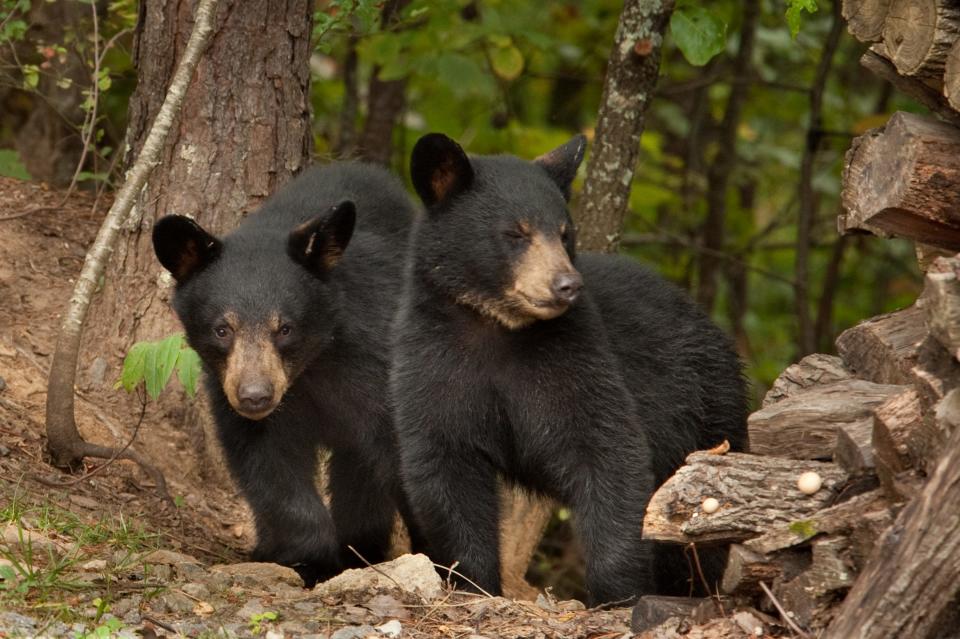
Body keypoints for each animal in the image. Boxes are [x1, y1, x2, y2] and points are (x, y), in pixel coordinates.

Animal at [151, 162, 420, 588]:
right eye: (222, 329)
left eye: (285, 328)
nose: (255, 396)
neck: (311, 367)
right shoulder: (236, 401)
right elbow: (270, 467)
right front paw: (308, 559)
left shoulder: (375, 366)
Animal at [390, 134, 752, 604]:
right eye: (516, 233)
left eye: (565, 233)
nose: (567, 285)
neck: (499, 330)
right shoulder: (432, 362)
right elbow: (446, 467)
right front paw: (471, 581)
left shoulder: (577, 357)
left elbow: (608, 451)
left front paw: (616, 592)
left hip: (706, 410)